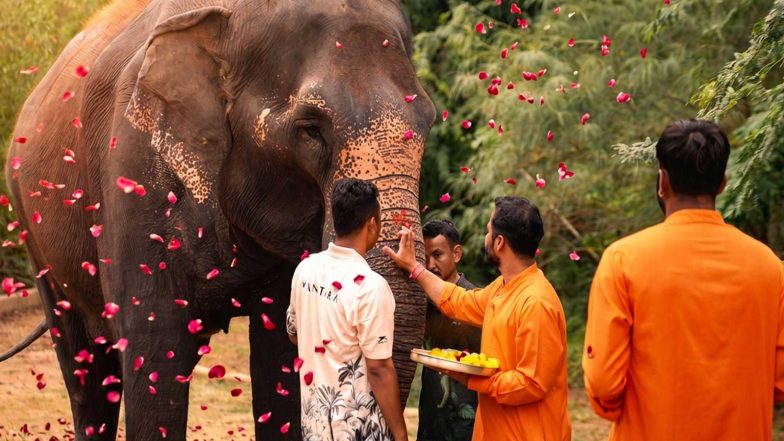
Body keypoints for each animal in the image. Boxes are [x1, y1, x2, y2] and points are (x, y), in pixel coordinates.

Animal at [2, 0, 434, 439]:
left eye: (429, 121)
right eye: (310, 129)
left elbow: (279, 355)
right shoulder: (131, 167)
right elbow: (154, 350)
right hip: (34, 232)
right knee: (86, 373)